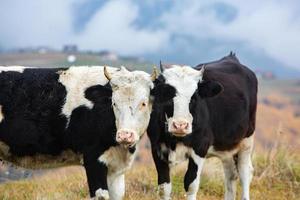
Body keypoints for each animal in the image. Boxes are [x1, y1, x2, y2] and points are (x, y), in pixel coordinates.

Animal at [0, 65, 156, 198]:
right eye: (114, 103)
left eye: (143, 103)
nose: (125, 135)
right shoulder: (93, 158)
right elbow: (101, 195)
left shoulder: (116, 169)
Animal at [149, 53, 256, 200]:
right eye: (167, 94)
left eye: (194, 97)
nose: (180, 125)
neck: (175, 140)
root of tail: (231, 58)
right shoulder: (156, 147)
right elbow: (164, 188)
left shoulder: (200, 147)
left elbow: (191, 185)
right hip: (226, 146)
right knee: (231, 175)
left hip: (247, 140)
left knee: (245, 172)